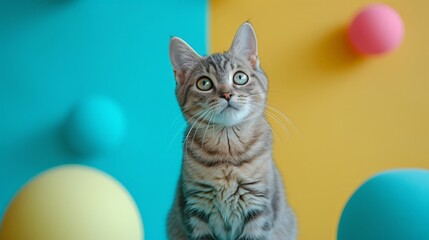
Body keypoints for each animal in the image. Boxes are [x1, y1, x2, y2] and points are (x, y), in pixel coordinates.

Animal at [166, 22, 296, 240]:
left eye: (240, 77)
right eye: (204, 83)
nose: (227, 94)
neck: (228, 152)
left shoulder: (258, 209)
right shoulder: (196, 211)